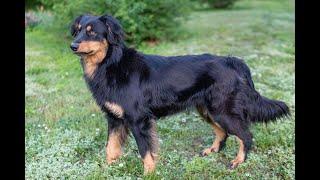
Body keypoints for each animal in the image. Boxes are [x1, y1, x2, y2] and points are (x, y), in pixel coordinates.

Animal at [69, 13, 290, 174]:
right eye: (77, 32)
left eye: (92, 33)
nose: (72, 46)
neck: (111, 64)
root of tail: (232, 61)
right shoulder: (114, 118)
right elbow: (111, 148)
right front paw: (107, 170)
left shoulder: (138, 120)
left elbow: (145, 151)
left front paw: (149, 174)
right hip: (207, 110)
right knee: (223, 132)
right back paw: (212, 150)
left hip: (222, 111)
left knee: (246, 135)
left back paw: (238, 161)